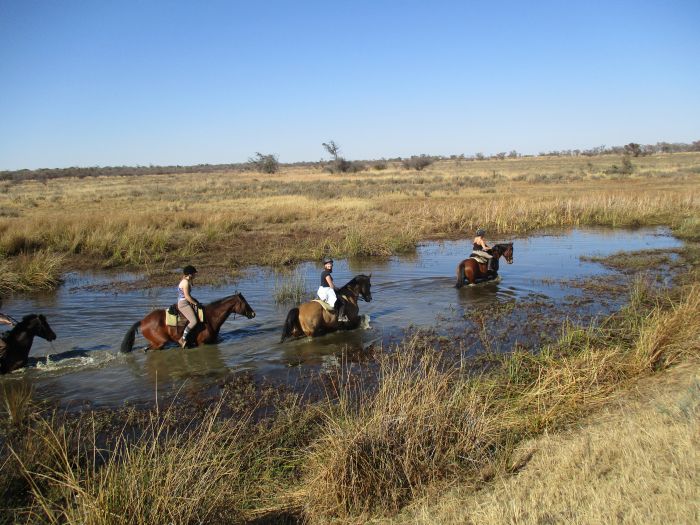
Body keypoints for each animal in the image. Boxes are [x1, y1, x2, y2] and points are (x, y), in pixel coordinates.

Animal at [121, 290, 256, 352]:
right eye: (244, 303)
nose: (253, 313)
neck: (210, 318)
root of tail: (142, 321)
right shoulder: (202, 343)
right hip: (160, 343)